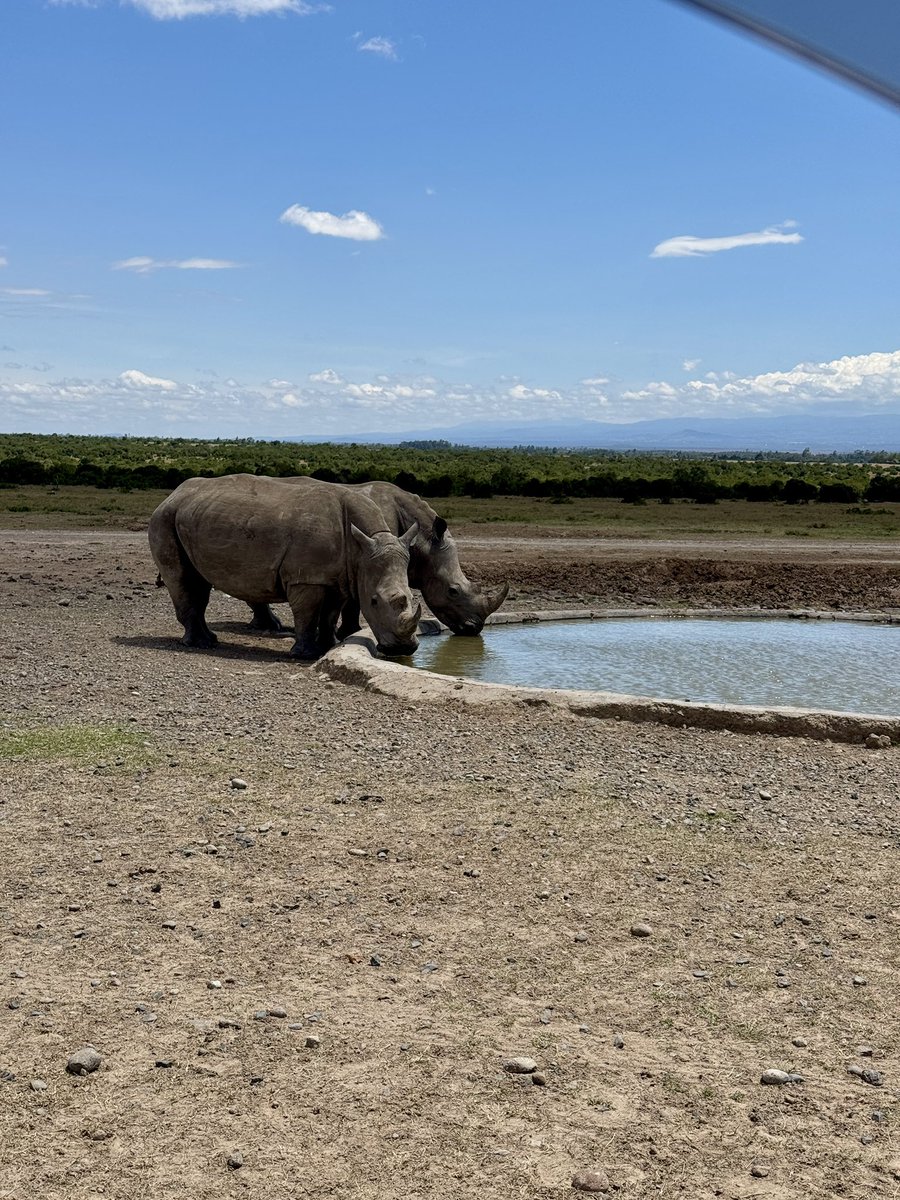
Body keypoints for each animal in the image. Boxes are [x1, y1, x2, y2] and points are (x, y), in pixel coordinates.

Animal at [149, 474, 421, 659]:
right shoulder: (306, 577)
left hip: (192, 517)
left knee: (199, 582)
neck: (362, 549)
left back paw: (209, 640)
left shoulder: (338, 577)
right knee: (182, 579)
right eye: (374, 601)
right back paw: (200, 644)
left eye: (411, 598)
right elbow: (307, 614)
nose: (404, 648)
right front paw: (305, 655)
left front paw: (330, 646)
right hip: (163, 519)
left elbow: (330, 613)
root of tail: (172, 494)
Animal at [248, 479, 508, 637]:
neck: (424, 540)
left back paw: (267, 626)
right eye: (453, 591)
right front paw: (349, 633)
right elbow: (356, 599)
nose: (474, 629)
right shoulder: (363, 558)